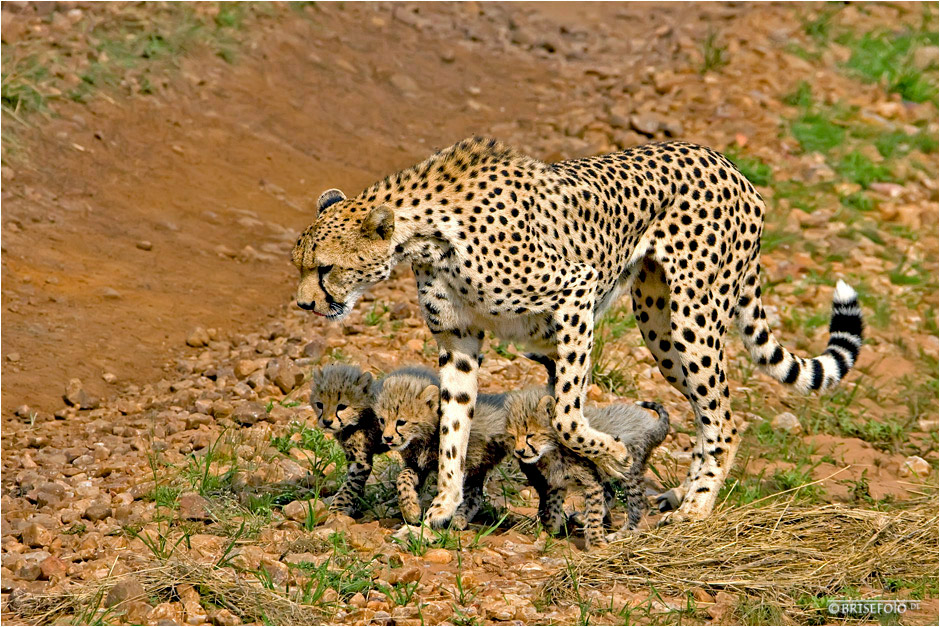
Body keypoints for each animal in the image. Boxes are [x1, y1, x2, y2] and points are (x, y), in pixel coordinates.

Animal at [290, 137, 864, 524]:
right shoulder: (461, 342)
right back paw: (679, 496)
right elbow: (455, 429)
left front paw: (613, 454)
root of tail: (729, 166)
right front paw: (440, 511)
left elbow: (566, 418)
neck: (427, 235)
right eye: (300, 265)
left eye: (325, 268)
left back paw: (695, 510)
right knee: (708, 416)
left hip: (692, 318)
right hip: (659, 328)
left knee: (724, 419)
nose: (303, 303)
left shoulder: (576, 299)